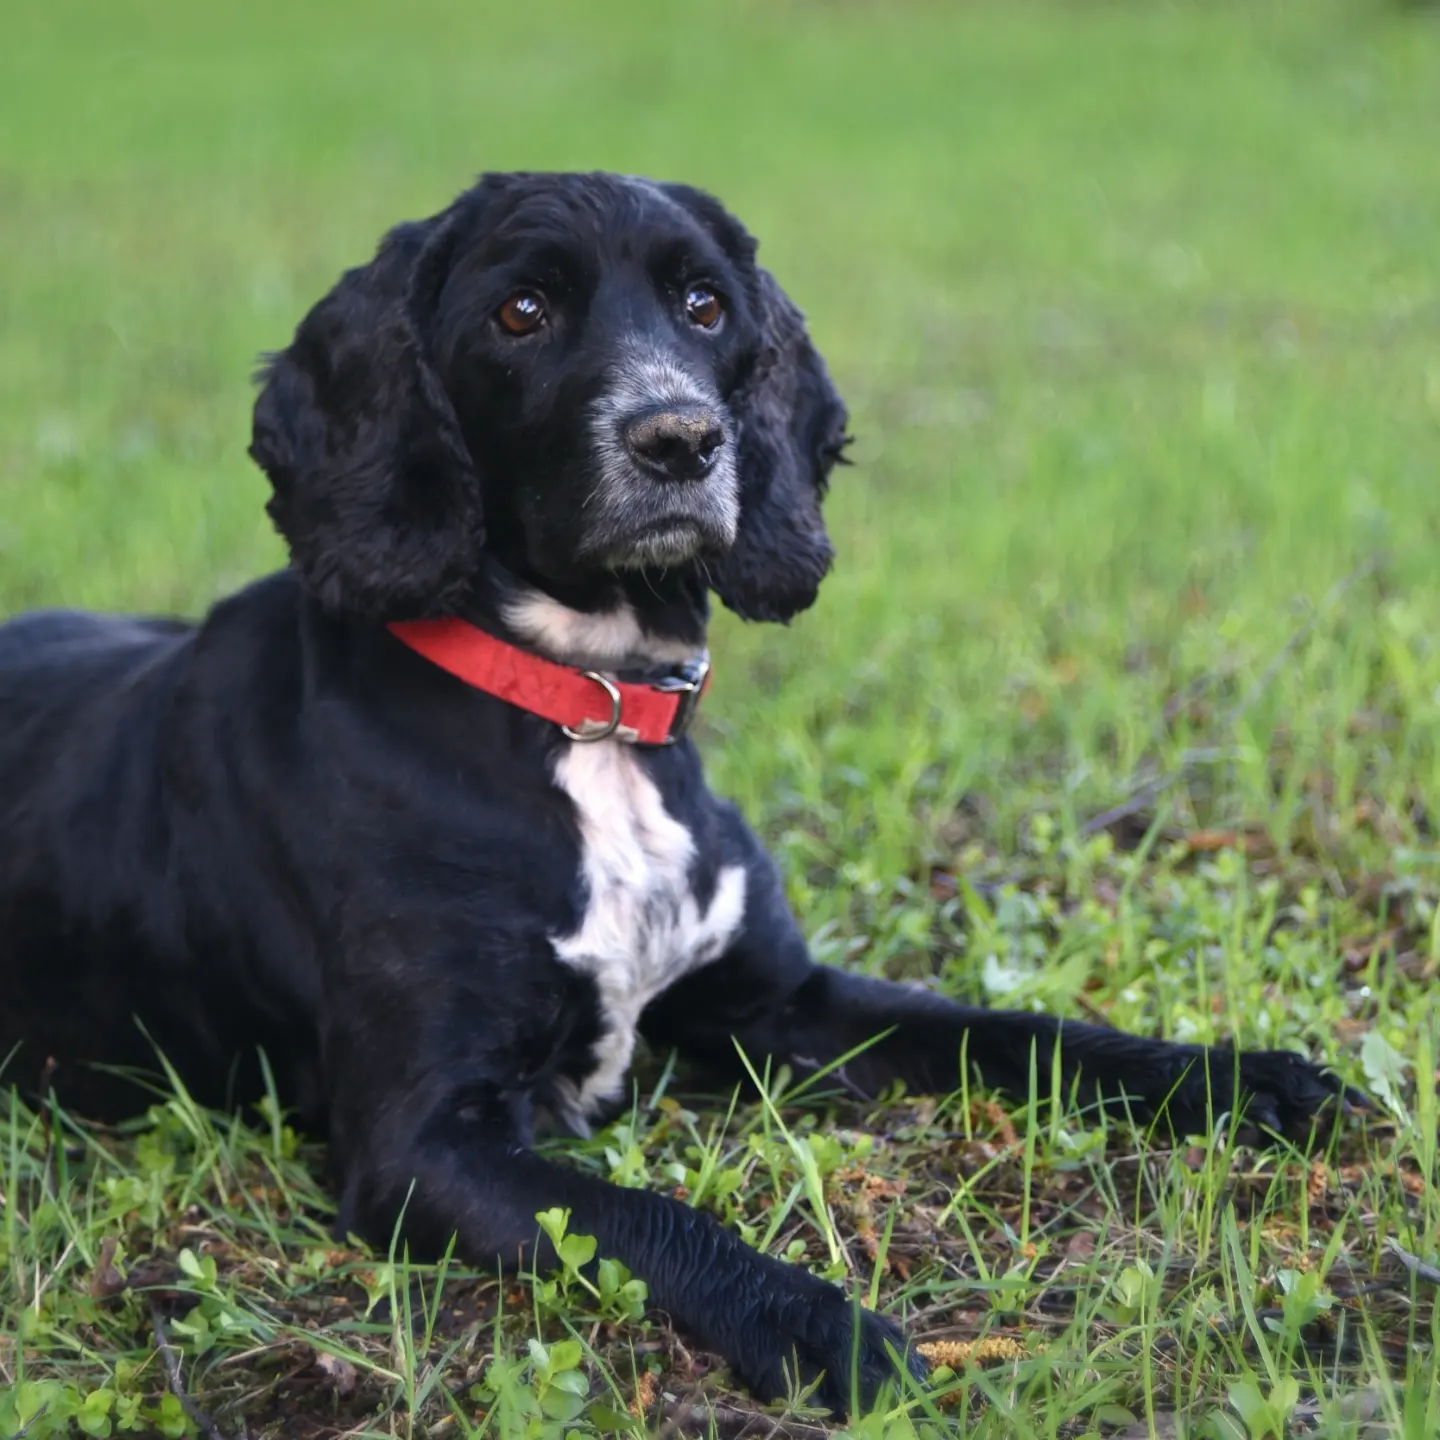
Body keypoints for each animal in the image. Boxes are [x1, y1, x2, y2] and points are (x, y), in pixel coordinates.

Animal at [0, 171, 1360, 1413]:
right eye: (523, 310)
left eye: (705, 305)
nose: (681, 440)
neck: (584, 706)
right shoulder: (421, 1139)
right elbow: (658, 1221)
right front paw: (826, 1329)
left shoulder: (780, 1003)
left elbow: (1010, 1031)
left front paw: (1247, 1079)